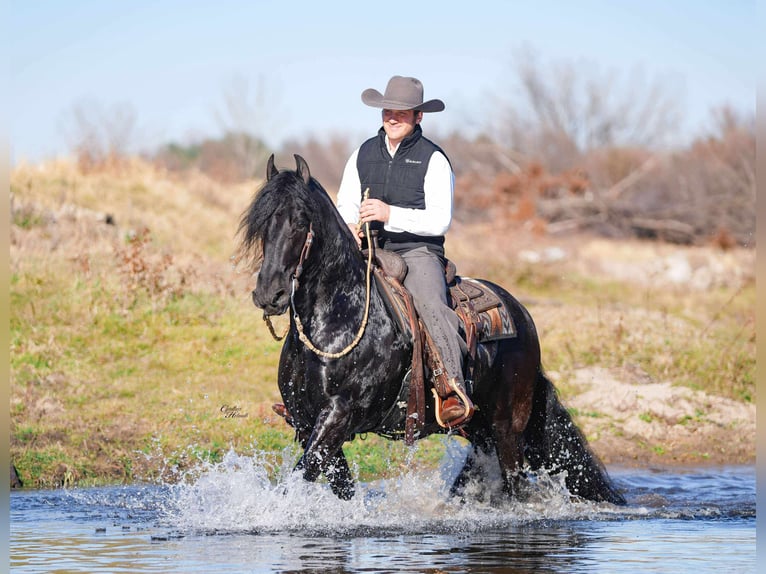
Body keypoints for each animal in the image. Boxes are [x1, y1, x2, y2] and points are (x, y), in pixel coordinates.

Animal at [237, 154, 625, 506]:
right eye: (262, 224)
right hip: (479, 427)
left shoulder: (338, 415)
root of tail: (522, 315)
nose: (269, 294)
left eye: (301, 220)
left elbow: (297, 479)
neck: (337, 321)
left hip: (508, 427)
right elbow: (338, 485)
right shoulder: (308, 422)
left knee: (516, 484)